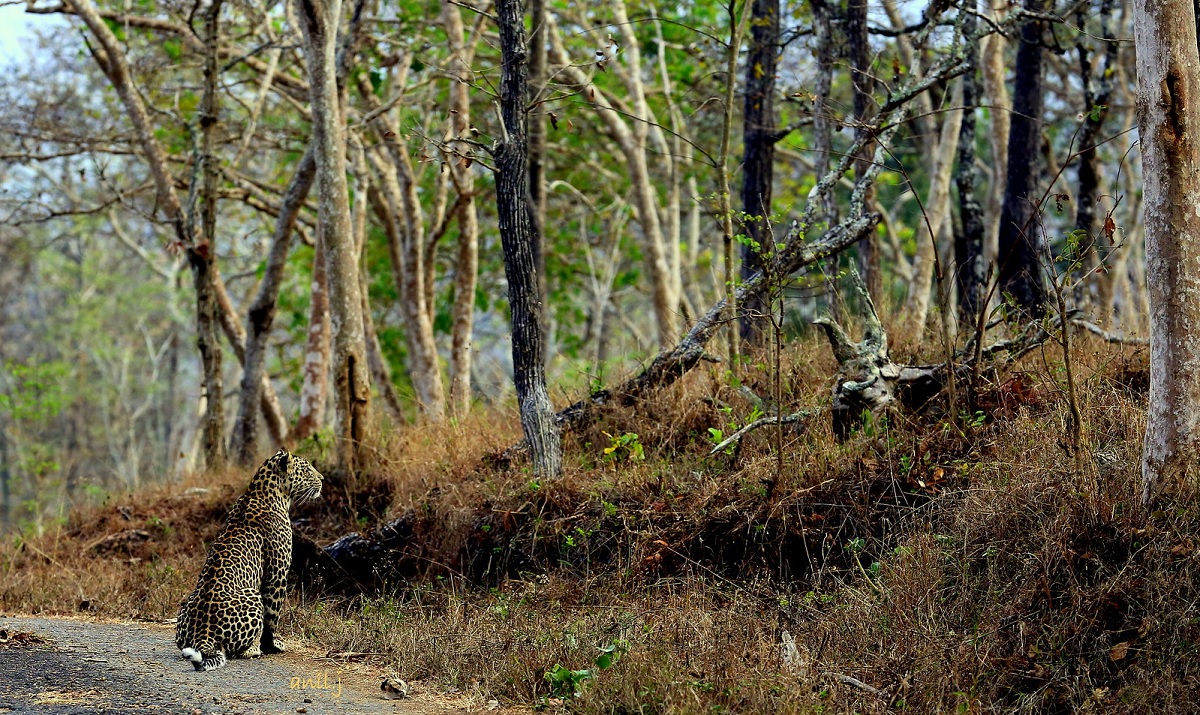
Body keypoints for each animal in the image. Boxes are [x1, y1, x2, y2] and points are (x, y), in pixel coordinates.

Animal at [174, 448, 324, 671]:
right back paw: (253, 649)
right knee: (234, 649)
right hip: (253, 595)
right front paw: (273, 645)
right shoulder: (276, 575)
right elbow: (272, 616)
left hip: (185, 610)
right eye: (306, 469)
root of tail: (203, 634)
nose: (322, 479)